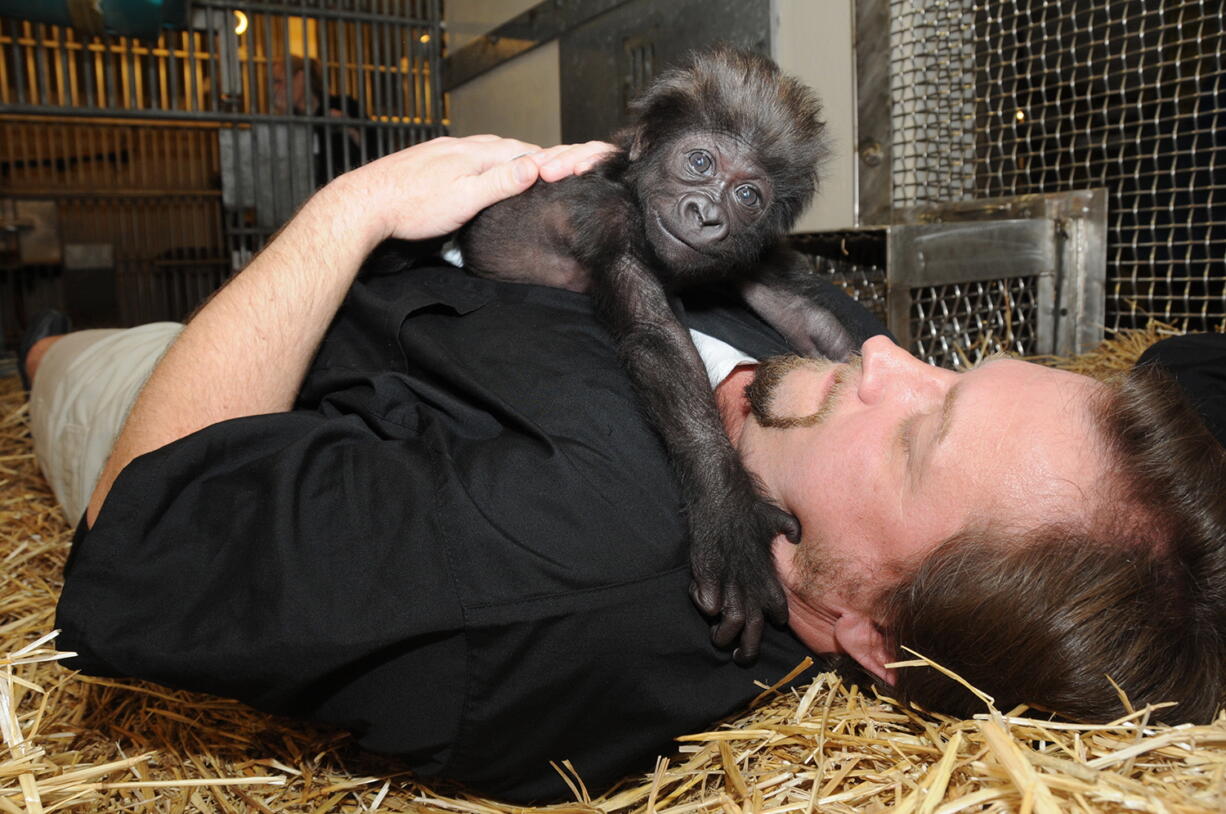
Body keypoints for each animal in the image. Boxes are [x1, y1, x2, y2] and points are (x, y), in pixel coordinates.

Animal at [460, 45, 872, 661]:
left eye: (747, 195)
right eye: (699, 162)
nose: (706, 214)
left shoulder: (748, 252)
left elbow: (803, 319)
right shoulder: (610, 219)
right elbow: (655, 338)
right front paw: (727, 511)